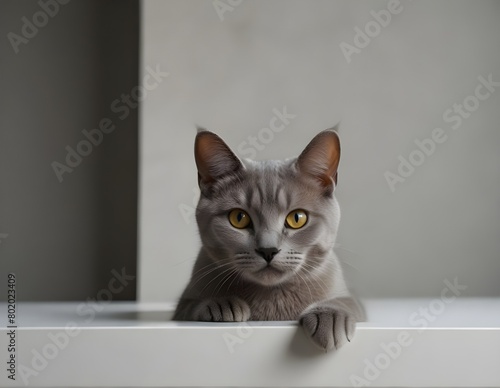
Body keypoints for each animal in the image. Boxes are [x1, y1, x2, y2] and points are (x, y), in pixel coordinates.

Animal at [174, 129, 366, 350]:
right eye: (238, 218)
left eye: (297, 218)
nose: (268, 250)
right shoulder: (183, 303)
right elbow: (191, 305)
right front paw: (221, 302)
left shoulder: (353, 300)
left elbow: (346, 302)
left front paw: (330, 318)